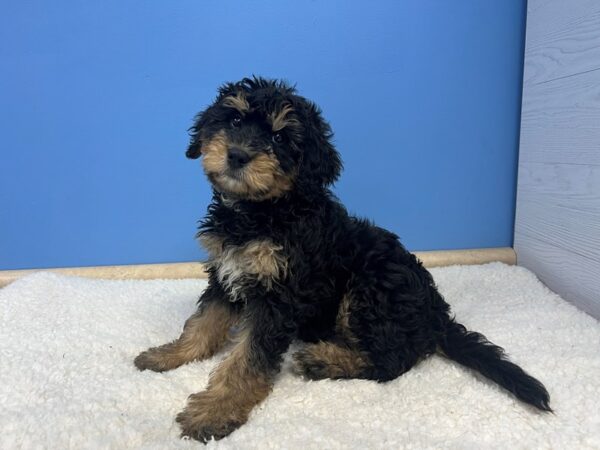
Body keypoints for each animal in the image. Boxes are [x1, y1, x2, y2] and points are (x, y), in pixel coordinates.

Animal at [134, 77, 552, 442]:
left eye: (279, 137)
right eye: (234, 120)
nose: (237, 155)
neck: (263, 212)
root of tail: (436, 313)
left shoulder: (278, 296)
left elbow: (247, 359)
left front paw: (214, 411)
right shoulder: (227, 271)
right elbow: (203, 322)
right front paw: (169, 353)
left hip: (368, 287)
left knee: (393, 360)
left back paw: (323, 360)